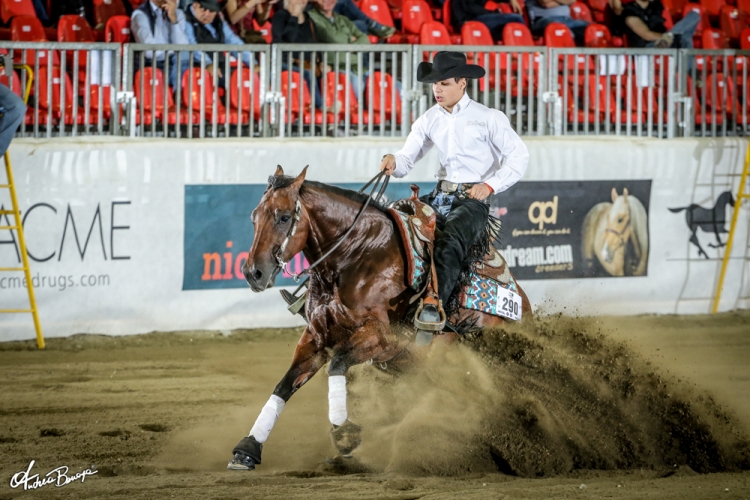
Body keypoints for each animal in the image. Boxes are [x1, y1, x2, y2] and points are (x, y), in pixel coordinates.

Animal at [226, 166, 532, 470]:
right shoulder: (316, 336)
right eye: (254, 217)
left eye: (284, 217)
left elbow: (336, 365)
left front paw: (345, 434)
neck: (357, 256)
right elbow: (284, 385)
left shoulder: (380, 338)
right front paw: (247, 449)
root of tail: (521, 302)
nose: (253, 273)